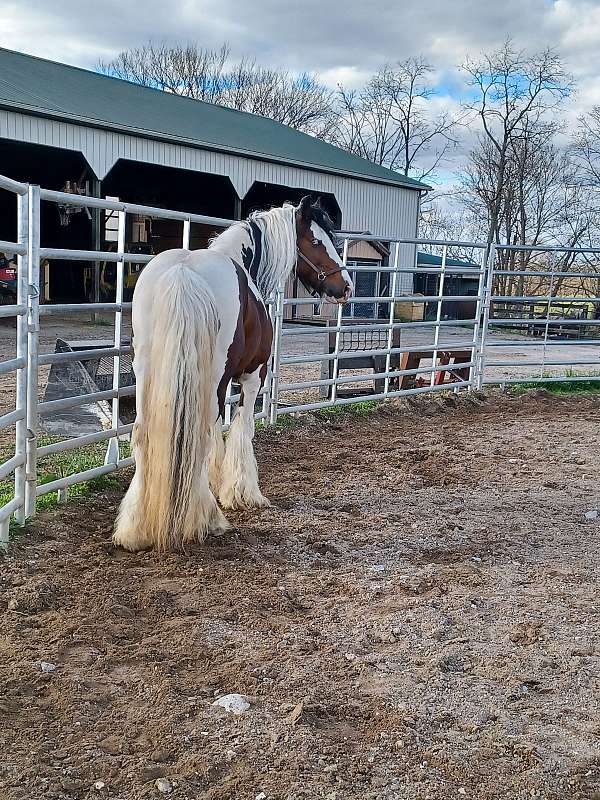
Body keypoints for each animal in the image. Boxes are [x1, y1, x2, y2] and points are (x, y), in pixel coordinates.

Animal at [112, 197, 352, 552]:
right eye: (316, 241)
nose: (345, 287)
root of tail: (184, 273)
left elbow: (217, 434)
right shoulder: (252, 377)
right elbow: (241, 429)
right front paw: (242, 493)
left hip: (146, 372)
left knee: (143, 434)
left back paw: (135, 529)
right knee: (196, 435)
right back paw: (206, 520)